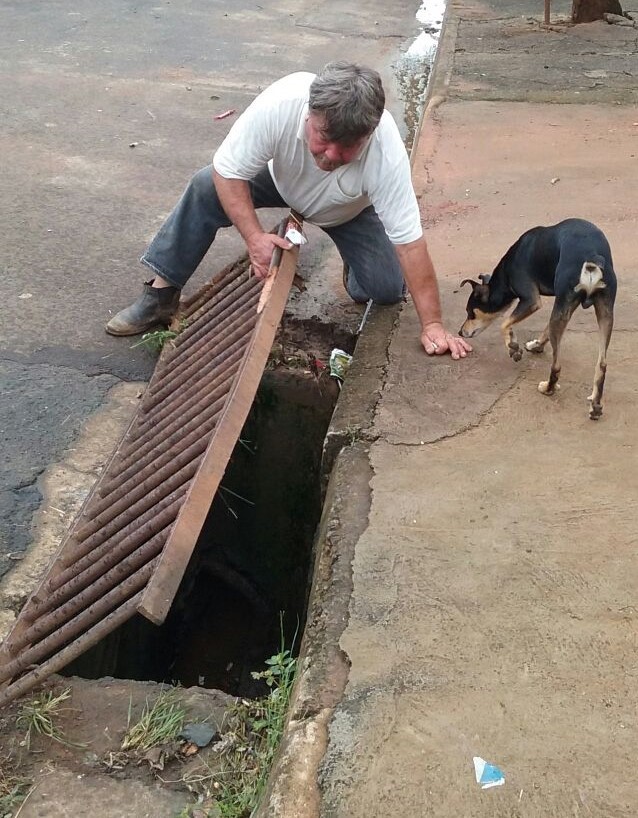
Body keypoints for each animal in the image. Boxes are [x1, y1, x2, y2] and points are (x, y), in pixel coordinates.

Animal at [462, 217, 616, 418]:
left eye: (470, 313)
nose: (460, 332)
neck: (507, 270)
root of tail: (592, 258)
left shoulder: (532, 301)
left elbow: (504, 323)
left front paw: (513, 347)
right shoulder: (564, 305)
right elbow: (545, 330)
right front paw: (536, 345)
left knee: (556, 365)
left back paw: (548, 388)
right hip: (604, 312)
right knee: (602, 364)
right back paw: (596, 405)